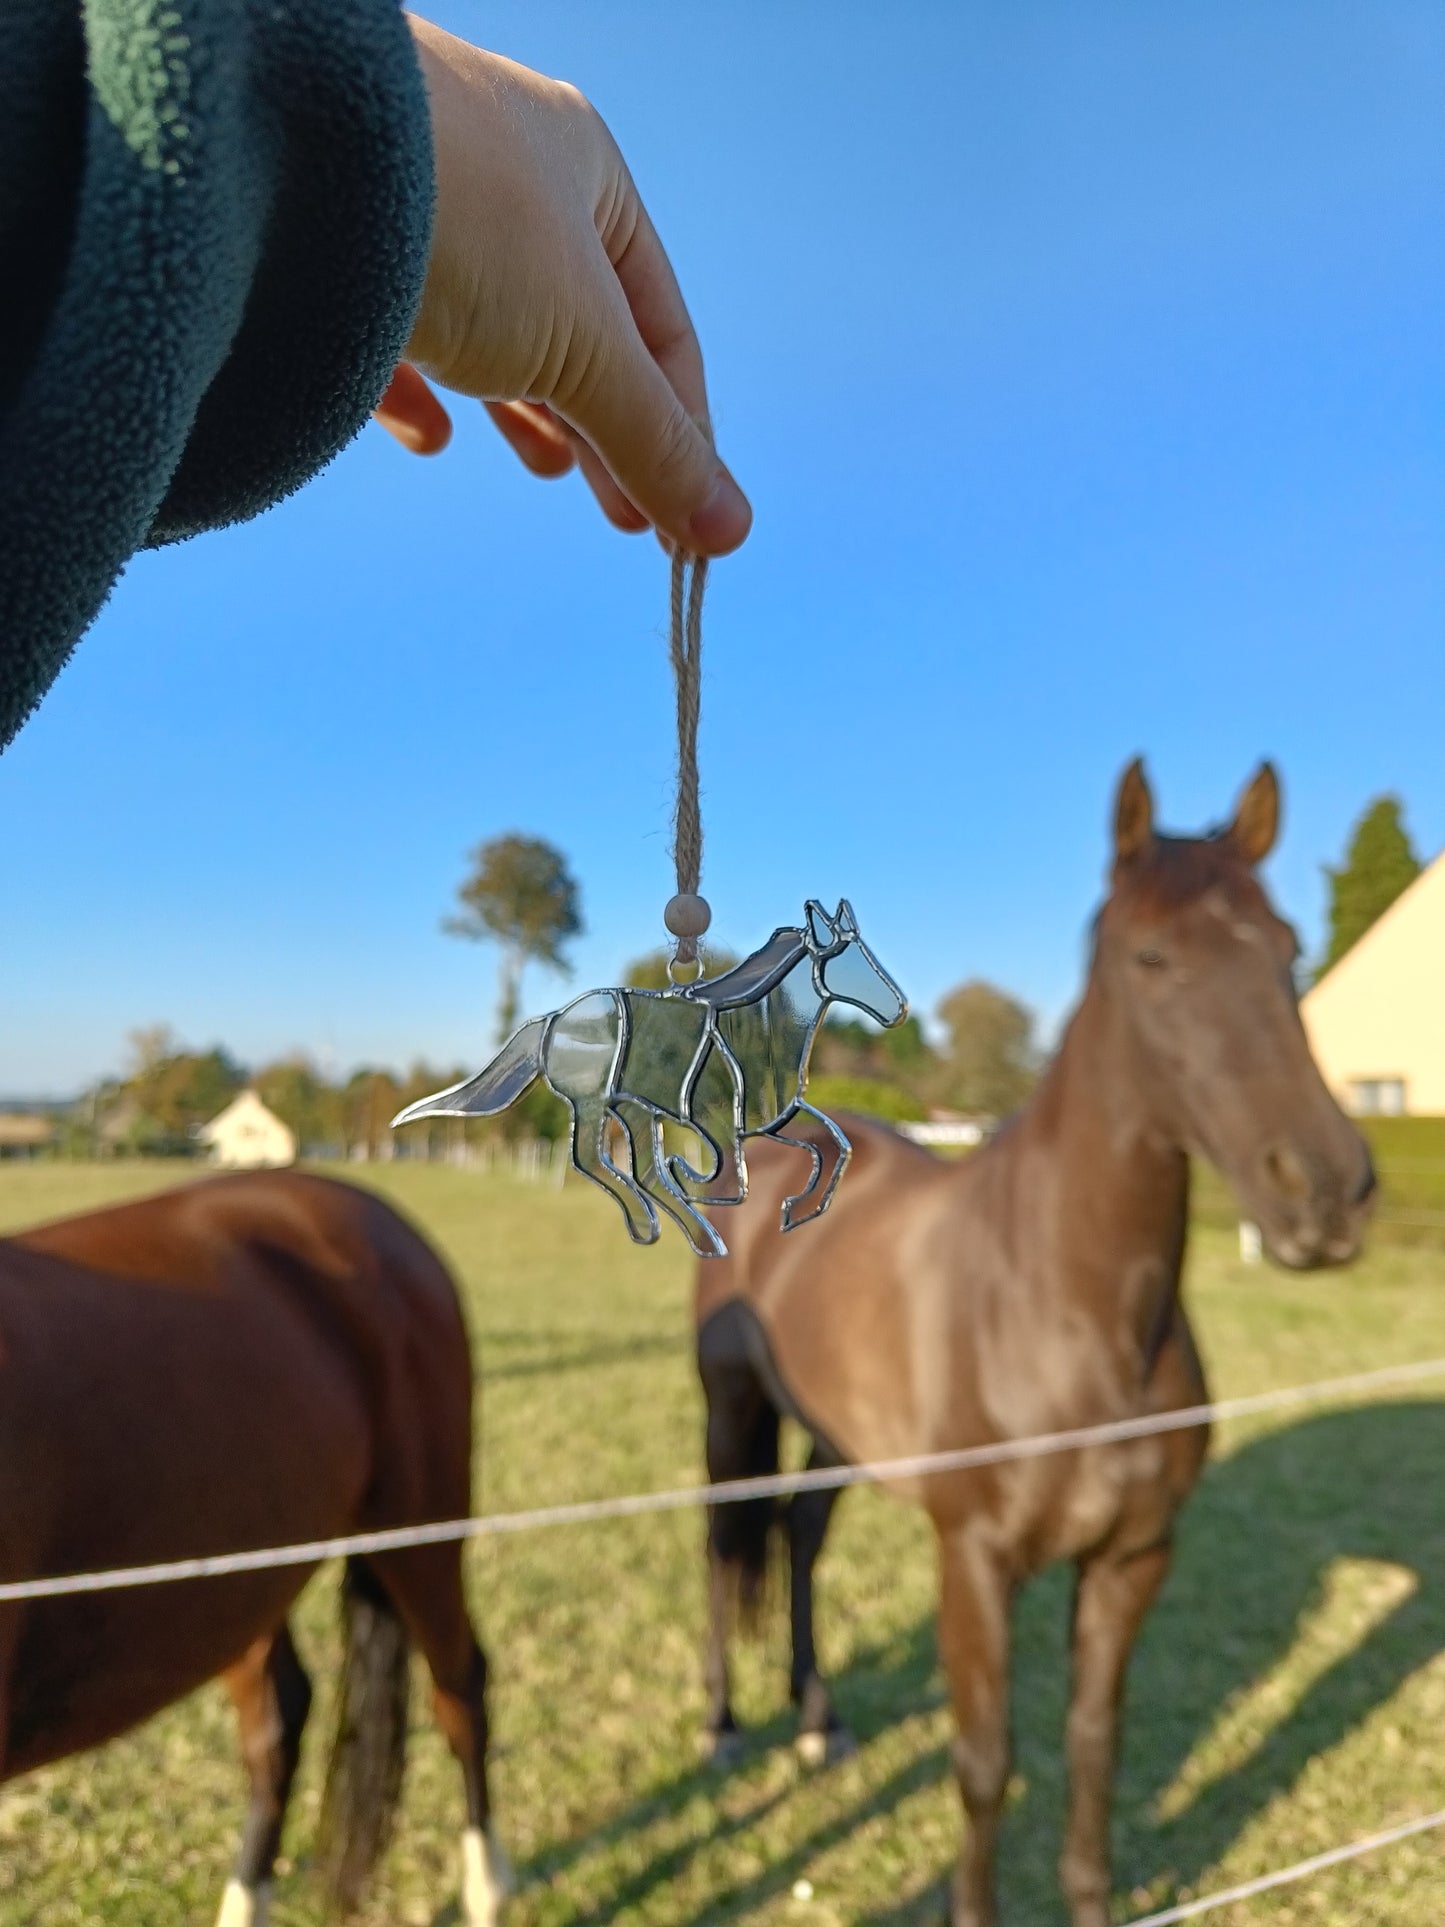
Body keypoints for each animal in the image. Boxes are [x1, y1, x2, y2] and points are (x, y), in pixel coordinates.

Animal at [394, 899, 908, 1257]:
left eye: (866, 952)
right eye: (848, 957)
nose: (898, 1009)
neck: (756, 1027)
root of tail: (555, 1018)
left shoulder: (774, 1118)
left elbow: (836, 1146)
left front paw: (795, 1212)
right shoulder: (716, 1122)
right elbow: (730, 1182)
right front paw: (710, 1186)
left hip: (636, 1110)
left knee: (642, 1171)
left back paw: (692, 1237)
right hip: (593, 1103)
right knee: (594, 1162)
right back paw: (656, 1228)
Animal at [694, 761, 1375, 1927]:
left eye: (1286, 948)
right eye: (1149, 957)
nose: (1326, 1191)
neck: (1068, 1315)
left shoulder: (1128, 1560)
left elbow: (1092, 1750)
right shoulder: (973, 1564)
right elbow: (984, 1762)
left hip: (832, 1434)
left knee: (798, 1537)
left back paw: (819, 1720)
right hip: (729, 1409)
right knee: (720, 1541)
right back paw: (728, 1726)